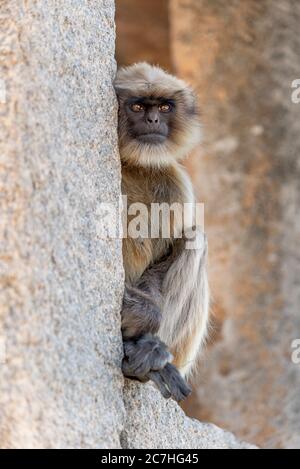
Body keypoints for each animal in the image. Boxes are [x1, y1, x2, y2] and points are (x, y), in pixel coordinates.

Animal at [113, 61, 210, 398]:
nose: (153, 119)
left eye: (165, 107)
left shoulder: (175, 184)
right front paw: (138, 316)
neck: (133, 164)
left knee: (195, 238)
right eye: (139, 106)